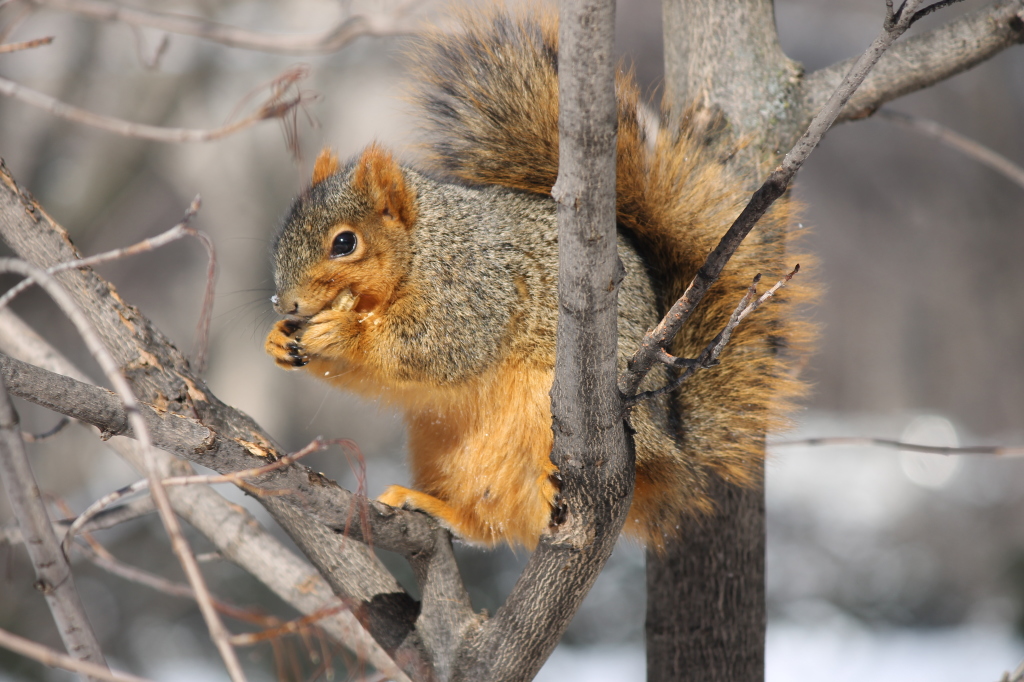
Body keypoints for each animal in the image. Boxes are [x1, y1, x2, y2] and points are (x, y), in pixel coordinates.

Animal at [268, 6, 811, 548]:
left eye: (345, 243)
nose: (286, 304)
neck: (422, 248)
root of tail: (672, 447)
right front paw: (278, 340)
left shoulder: (475, 288)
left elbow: (434, 348)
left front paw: (343, 331)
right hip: (441, 441)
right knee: (489, 520)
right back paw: (435, 506)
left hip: (561, 419)